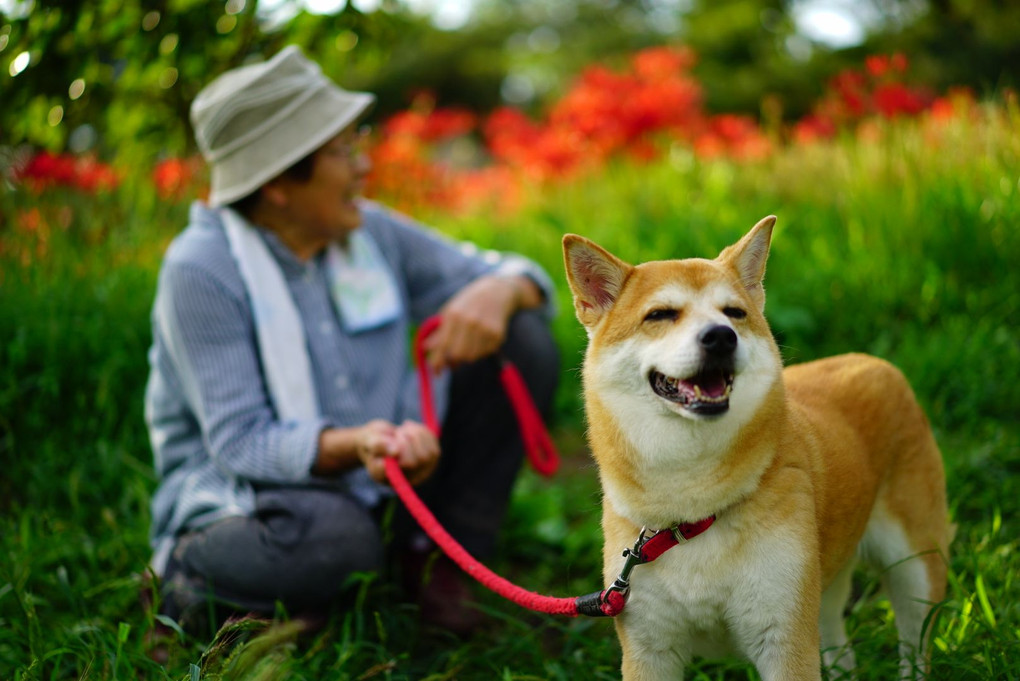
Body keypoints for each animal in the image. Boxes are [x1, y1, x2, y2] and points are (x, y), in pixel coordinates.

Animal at [567, 219, 946, 681]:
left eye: (734, 313)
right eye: (660, 315)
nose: (720, 337)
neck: (692, 513)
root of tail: (874, 361)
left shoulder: (784, 638)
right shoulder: (650, 649)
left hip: (914, 569)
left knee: (914, 641)